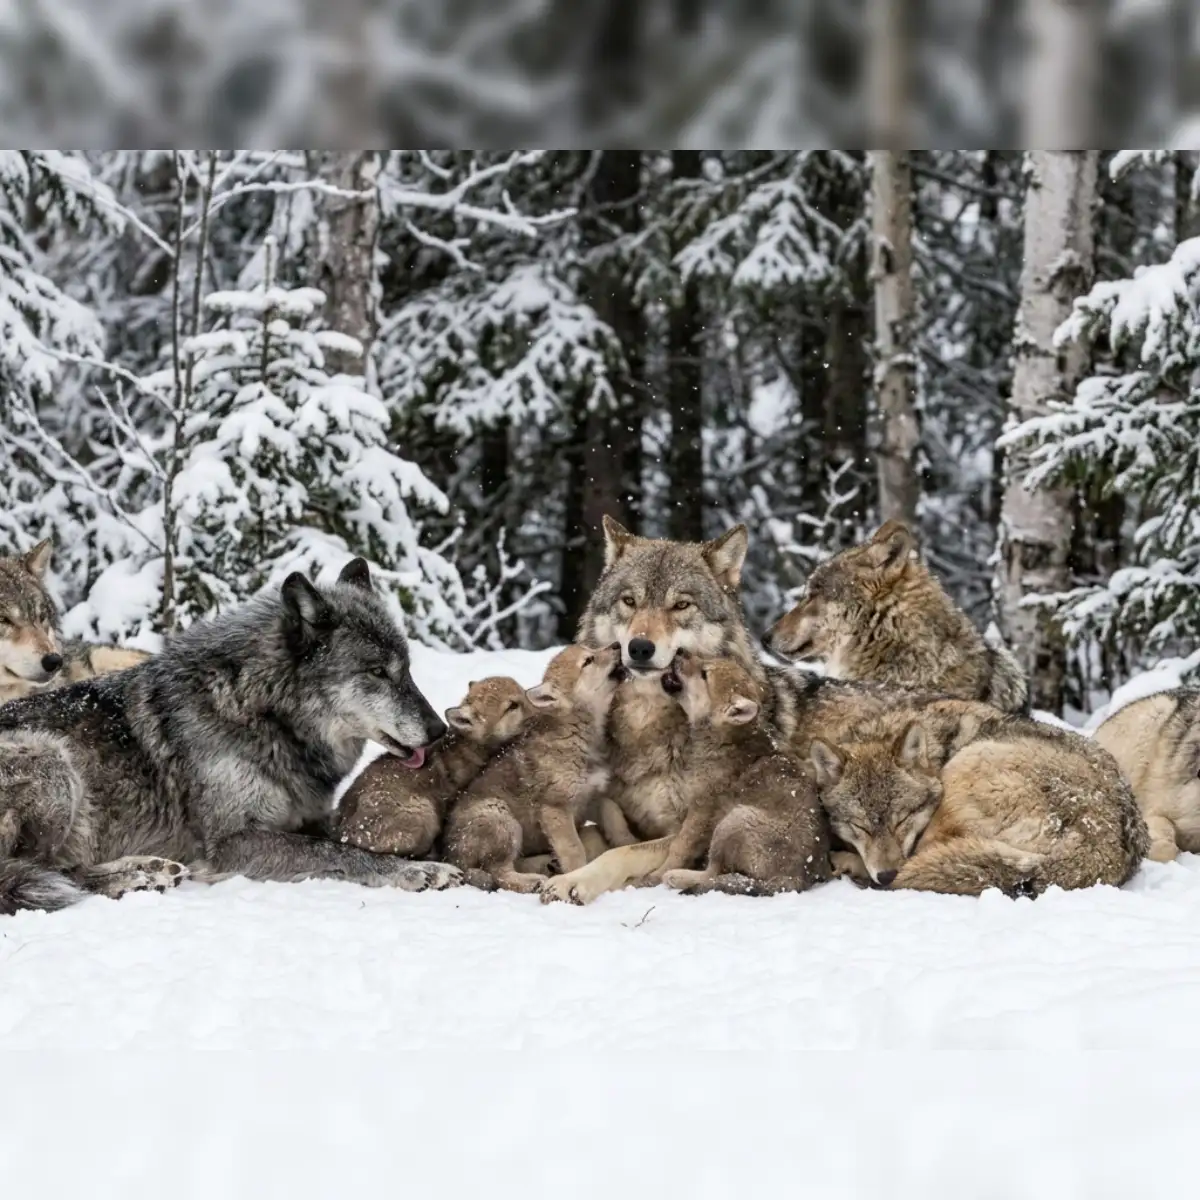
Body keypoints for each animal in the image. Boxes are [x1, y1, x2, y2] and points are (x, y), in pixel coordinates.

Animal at [0, 558, 461, 915]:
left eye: (407, 669)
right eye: (377, 672)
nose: (439, 730)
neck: (264, 713)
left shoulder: (308, 816)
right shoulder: (231, 841)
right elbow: (339, 851)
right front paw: (418, 870)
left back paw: (147, 869)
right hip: (52, 759)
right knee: (40, 873)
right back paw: (131, 879)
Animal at [443, 643, 625, 893]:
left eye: (592, 649)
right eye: (588, 660)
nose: (617, 644)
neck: (582, 734)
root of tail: (451, 857)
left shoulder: (588, 796)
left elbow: (612, 812)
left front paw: (627, 841)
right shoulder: (555, 808)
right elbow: (574, 849)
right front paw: (574, 878)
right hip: (501, 817)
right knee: (499, 872)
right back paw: (531, 881)